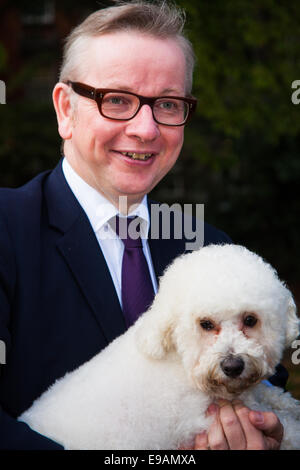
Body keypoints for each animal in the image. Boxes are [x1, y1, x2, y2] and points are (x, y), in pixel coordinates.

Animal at [18, 244, 300, 450]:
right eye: (205, 324)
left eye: (250, 320)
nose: (232, 366)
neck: (181, 362)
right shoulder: (199, 420)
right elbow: (287, 429)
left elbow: (273, 396)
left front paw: (288, 403)